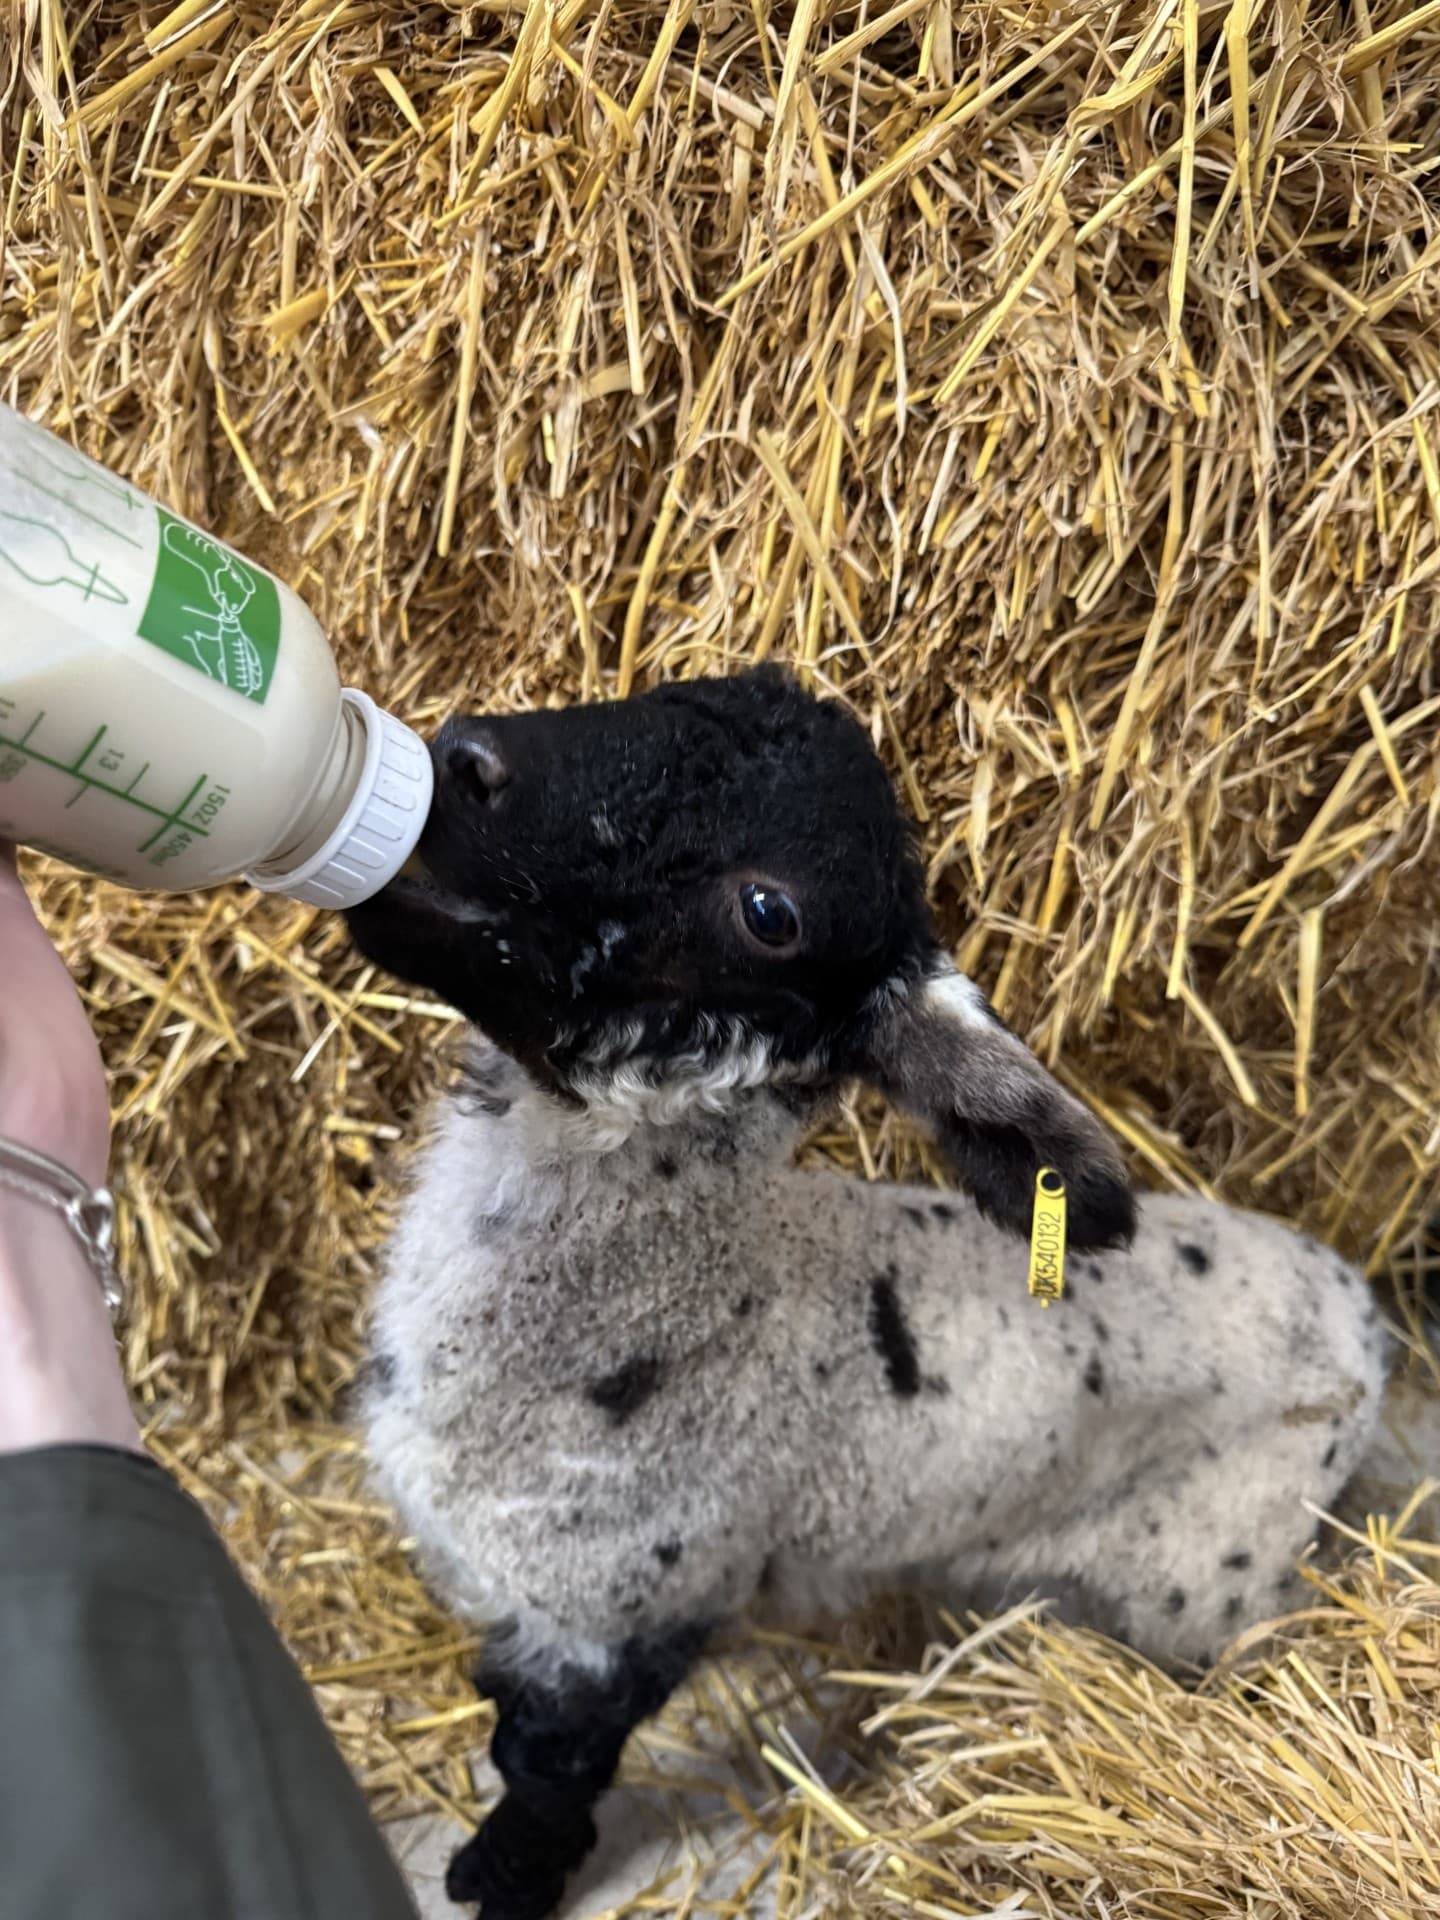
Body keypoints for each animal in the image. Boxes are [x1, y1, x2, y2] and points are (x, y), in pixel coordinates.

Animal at [345, 666, 1391, 1920]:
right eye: (665, 689)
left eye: (770, 914)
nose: (462, 758)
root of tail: (1361, 1314)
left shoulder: (629, 1607)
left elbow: (542, 1776)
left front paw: (498, 1880)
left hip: (1218, 1570)